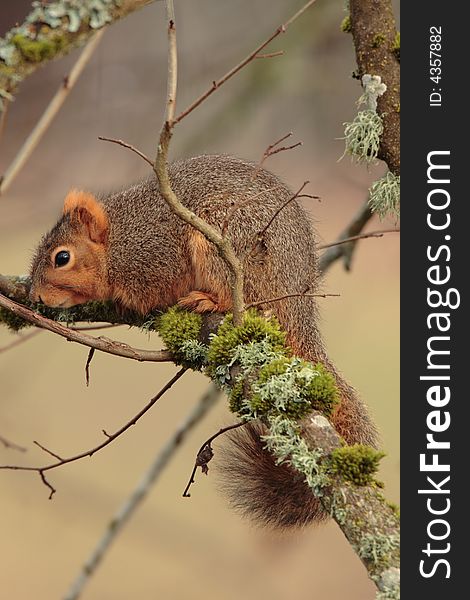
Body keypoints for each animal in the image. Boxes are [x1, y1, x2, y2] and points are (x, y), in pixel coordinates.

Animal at [30, 156, 378, 528]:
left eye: (62, 258)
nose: (34, 295)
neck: (117, 241)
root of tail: (298, 308)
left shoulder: (155, 257)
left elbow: (154, 289)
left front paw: (129, 301)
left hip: (227, 240)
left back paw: (207, 300)